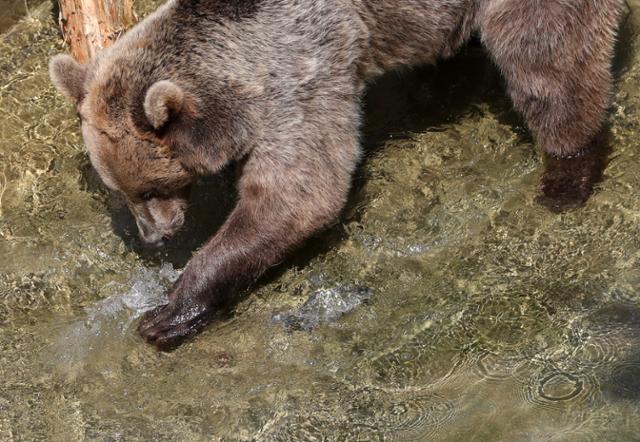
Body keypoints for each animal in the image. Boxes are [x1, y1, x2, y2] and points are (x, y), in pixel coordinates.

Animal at [50, 0, 624, 350]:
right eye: (121, 192)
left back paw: (566, 175)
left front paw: (167, 314)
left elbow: (297, 195)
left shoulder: (302, 80)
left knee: (546, 60)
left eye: (149, 188)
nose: (155, 236)